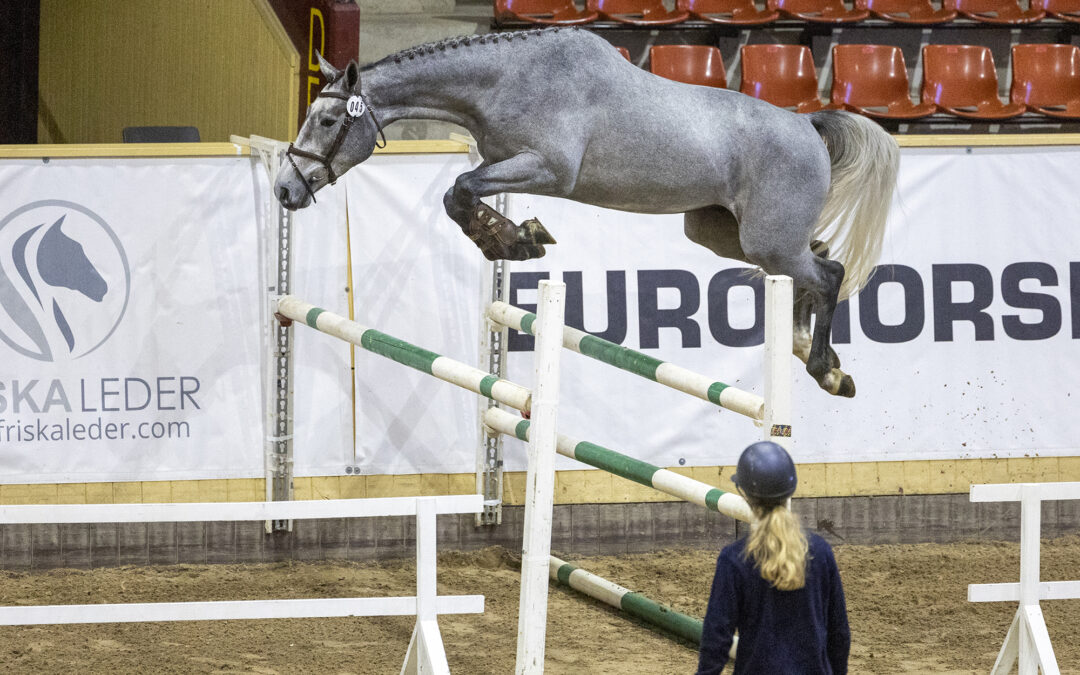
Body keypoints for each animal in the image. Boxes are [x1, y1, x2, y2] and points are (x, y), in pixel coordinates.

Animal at [274, 28, 898, 397]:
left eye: (326, 121)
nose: (283, 189)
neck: (504, 79)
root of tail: (808, 123)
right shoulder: (503, 162)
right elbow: (460, 195)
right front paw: (515, 237)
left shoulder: (549, 169)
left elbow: (459, 188)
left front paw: (517, 240)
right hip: (730, 235)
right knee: (815, 265)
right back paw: (810, 351)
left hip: (768, 239)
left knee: (830, 272)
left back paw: (824, 369)